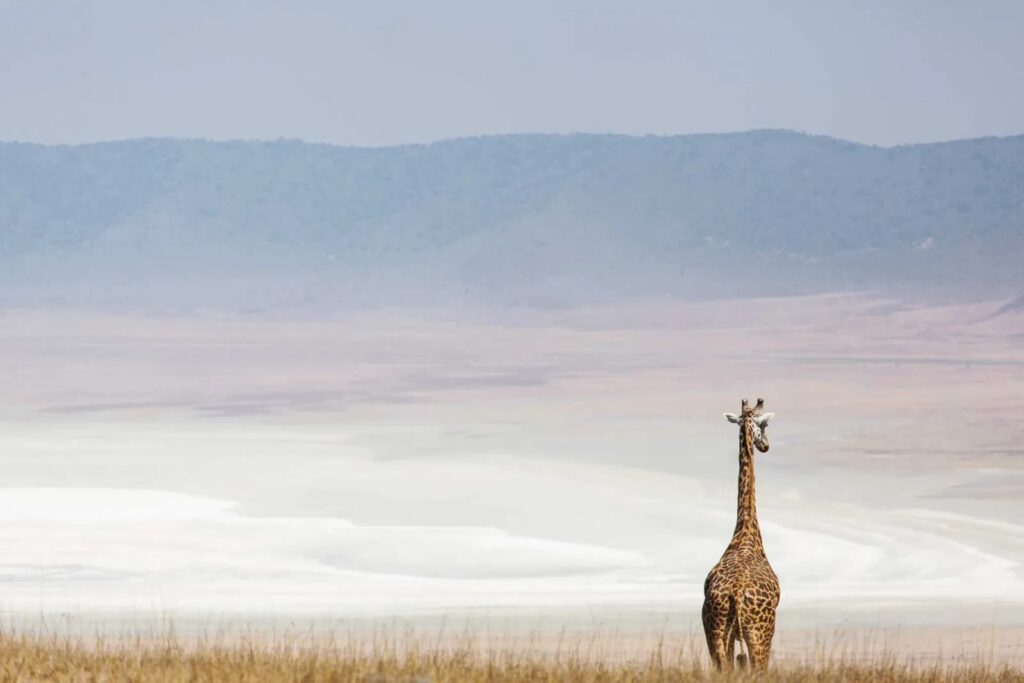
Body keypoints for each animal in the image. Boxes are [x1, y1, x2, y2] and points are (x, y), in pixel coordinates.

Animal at [702, 397, 780, 672]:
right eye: (765, 425)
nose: (766, 446)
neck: (745, 533)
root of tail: (735, 595)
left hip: (715, 631)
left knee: (721, 669)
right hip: (759, 634)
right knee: (759, 669)